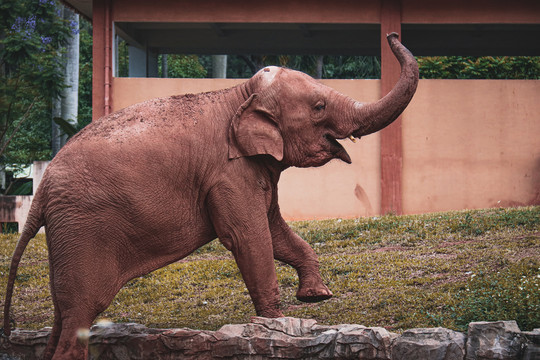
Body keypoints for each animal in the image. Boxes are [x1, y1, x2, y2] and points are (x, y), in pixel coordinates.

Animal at [2, 32, 420, 358]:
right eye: (319, 107)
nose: (391, 35)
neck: (239, 94)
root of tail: (41, 190)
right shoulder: (227, 174)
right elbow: (249, 237)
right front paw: (275, 327)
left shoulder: (250, 171)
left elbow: (275, 231)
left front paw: (315, 297)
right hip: (83, 228)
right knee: (82, 309)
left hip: (68, 233)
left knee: (63, 312)